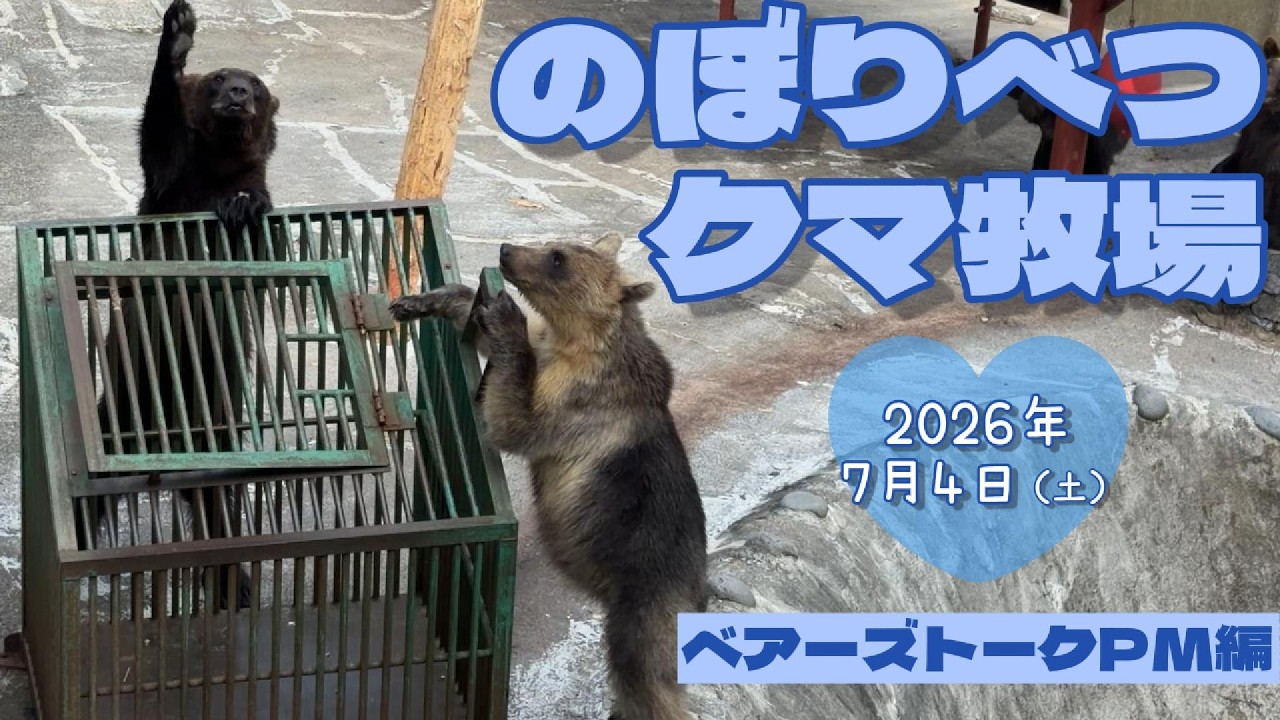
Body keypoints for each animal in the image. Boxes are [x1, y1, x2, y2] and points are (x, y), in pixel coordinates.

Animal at [389, 233, 708, 720]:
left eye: (558, 258)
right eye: (555, 244)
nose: (506, 249)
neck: (574, 340)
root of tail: (701, 591)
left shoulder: (581, 401)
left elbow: (518, 423)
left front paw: (505, 313)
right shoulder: (548, 350)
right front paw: (423, 300)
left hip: (651, 597)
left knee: (646, 673)